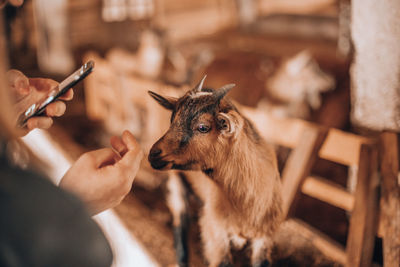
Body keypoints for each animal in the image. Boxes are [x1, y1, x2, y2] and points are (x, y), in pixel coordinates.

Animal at [148, 77, 282, 267]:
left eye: (203, 127)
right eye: (172, 120)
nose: (154, 154)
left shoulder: (264, 238)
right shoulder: (215, 230)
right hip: (177, 182)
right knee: (181, 221)